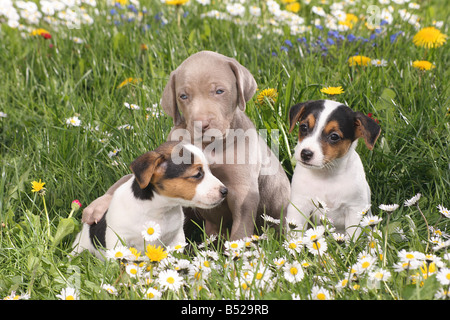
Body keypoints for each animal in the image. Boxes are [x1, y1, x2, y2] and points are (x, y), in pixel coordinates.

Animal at [284, 100, 380, 240]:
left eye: (334, 136)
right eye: (303, 127)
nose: (305, 153)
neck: (326, 174)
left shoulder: (354, 210)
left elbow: (353, 237)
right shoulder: (299, 206)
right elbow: (295, 235)